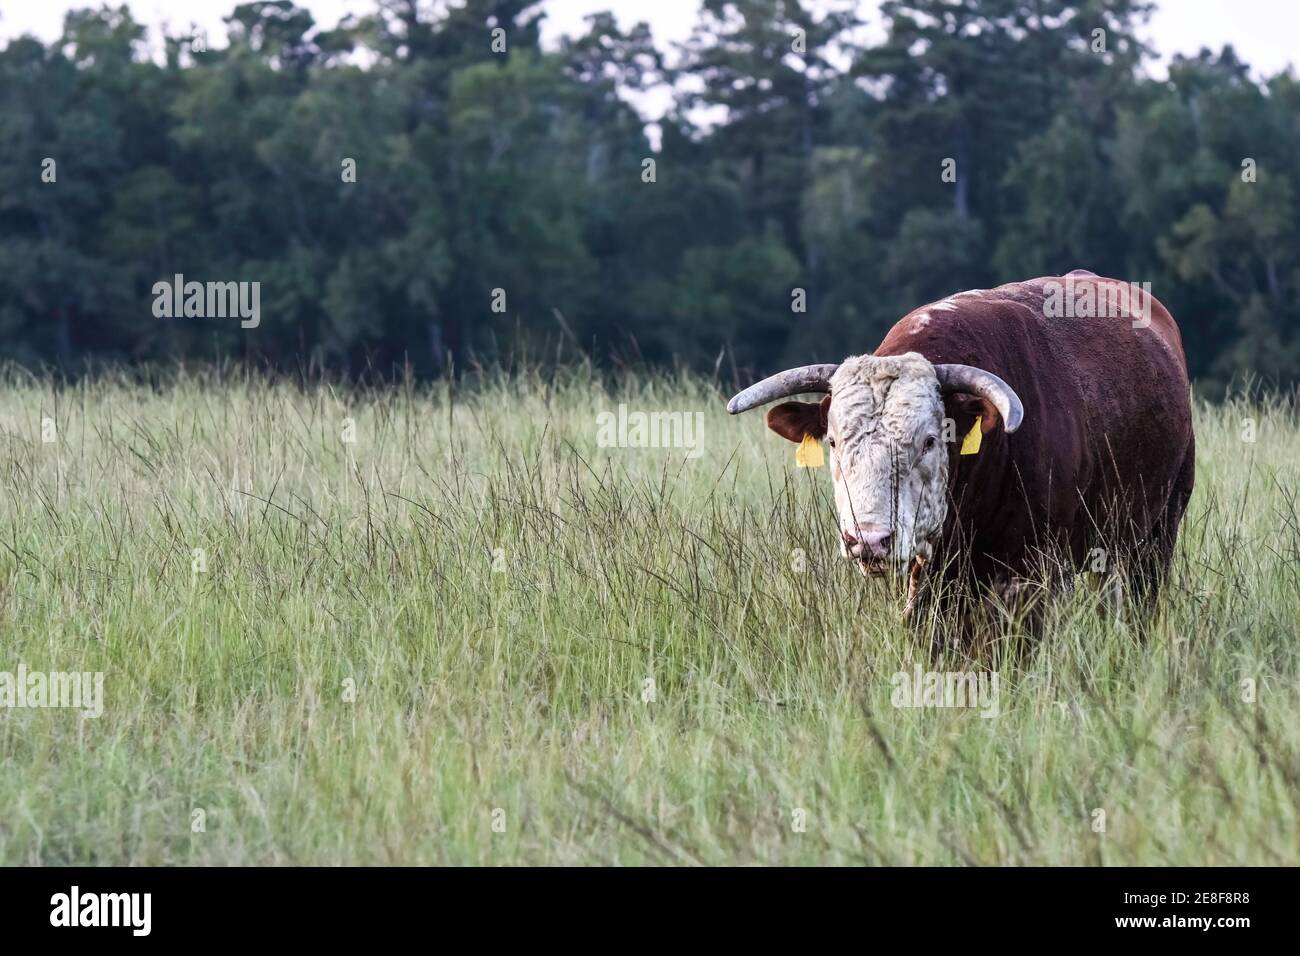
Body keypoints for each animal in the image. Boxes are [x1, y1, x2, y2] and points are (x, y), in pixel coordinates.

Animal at [726, 271, 1195, 643]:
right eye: (835, 443)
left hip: (1155, 535)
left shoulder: (1034, 572)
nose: (869, 541)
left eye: (929, 441)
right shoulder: (929, 575)